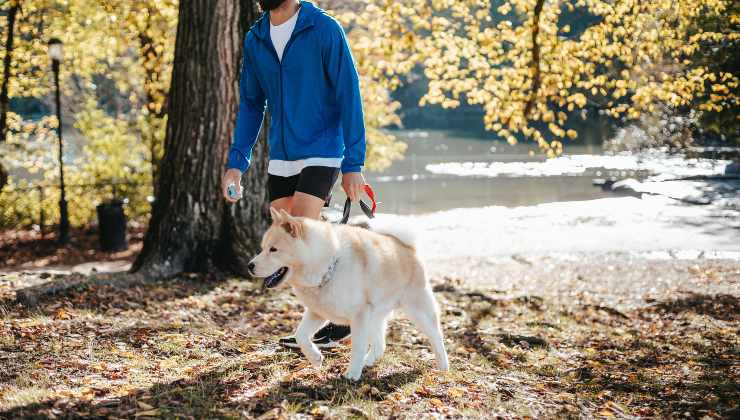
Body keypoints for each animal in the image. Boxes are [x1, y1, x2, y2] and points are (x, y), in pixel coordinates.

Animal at [249, 208, 448, 382]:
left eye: (273, 249)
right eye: (262, 248)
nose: (250, 266)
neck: (328, 265)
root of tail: (408, 248)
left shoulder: (358, 315)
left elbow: (358, 346)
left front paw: (352, 374)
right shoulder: (317, 312)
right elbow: (301, 336)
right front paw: (315, 358)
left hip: (418, 311)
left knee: (437, 338)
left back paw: (443, 368)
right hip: (374, 316)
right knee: (380, 344)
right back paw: (367, 362)